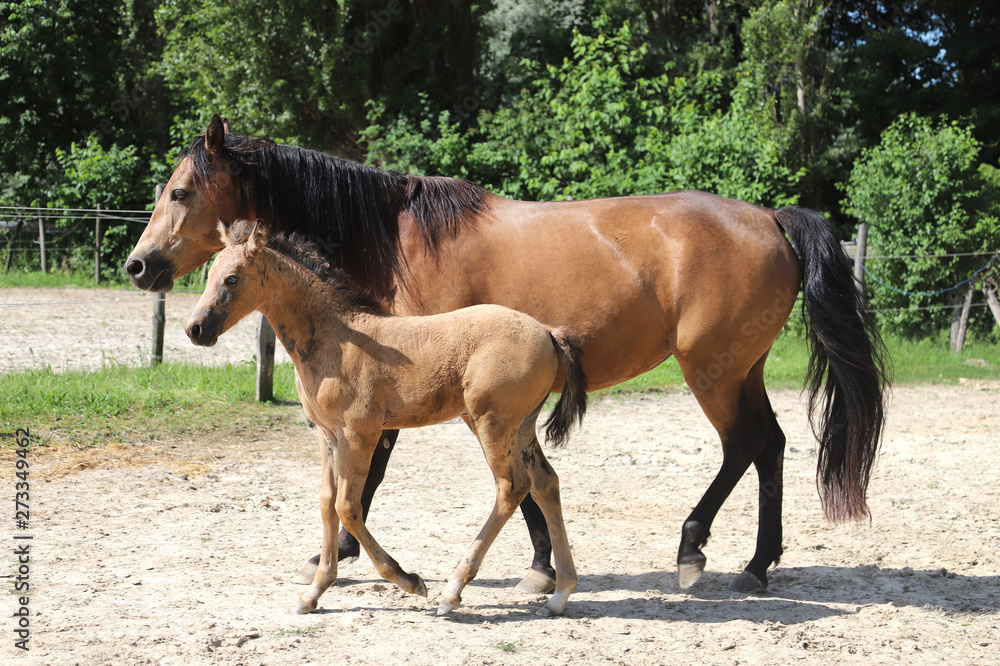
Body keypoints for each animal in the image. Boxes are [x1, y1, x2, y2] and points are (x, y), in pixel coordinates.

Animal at [185, 220, 587, 616]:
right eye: (209, 275)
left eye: (232, 278)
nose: (195, 329)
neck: (336, 339)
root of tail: (548, 333)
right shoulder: (328, 434)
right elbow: (326, 503)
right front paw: (313, 593)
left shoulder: (360, 432)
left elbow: (347, 507)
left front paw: (408, 580)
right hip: (520, 427)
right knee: (545, 483)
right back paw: (560, 593)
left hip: (491, 422)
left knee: (512, 486)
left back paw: (452, 591)